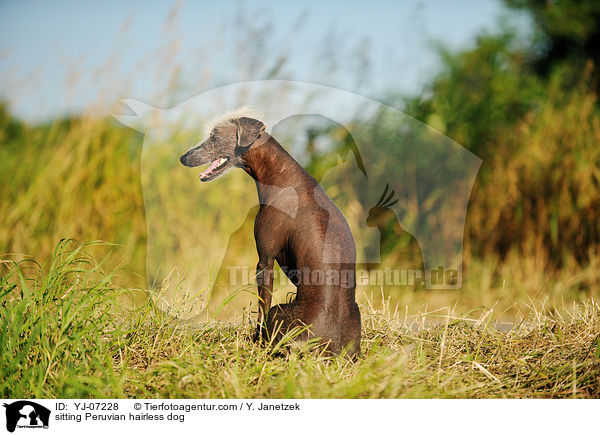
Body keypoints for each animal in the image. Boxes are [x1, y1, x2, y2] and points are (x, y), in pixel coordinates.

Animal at [180, 116, 360, 358]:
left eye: (214, 137)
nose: (183, 158)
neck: (282, 176)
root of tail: (327, 348)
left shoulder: (265, 260)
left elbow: (261, 306)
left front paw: (255, 339)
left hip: (279, 311)